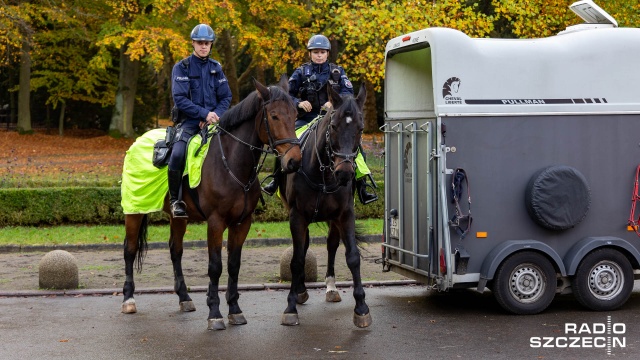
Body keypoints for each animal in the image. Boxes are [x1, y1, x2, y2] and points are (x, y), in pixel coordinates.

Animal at [121, 76, 302, 332]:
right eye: (274, 116)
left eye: (295, 114)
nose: (294, 160)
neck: (232, 164)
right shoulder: (216, 222)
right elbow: (215, 266)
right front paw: (215, 313)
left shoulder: (242, 223)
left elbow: (234, 264)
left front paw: (234, 310)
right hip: (134, 210)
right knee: (129, 250)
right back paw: (128, 299)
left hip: (179, 217)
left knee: (175, 250)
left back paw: (184, 298)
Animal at [278, 83, 372, 328]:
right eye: (333, 125)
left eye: (361, 127)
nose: (345, 173)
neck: (323, 174)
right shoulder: (297, 216)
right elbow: (297, 259)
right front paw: (291, 305)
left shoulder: (345, 214)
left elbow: (352, 257)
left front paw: (361, 307)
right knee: (304, 247)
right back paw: (301, 291)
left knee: (331, 245)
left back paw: (331, 287)